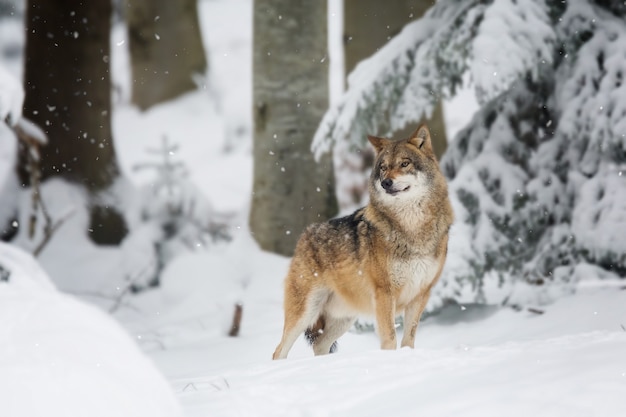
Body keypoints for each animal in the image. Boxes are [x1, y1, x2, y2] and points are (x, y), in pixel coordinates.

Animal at [270, 122, 450, 358]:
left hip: (344, 318)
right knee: (278, 351)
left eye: (404, 164)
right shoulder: (384, 293)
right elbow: (389, 338)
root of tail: (304, 235)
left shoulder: (421, 294)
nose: (386, 182)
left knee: (319, 345)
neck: (413, 228)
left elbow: (408, 339)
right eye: (383, 167)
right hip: (305, 313)